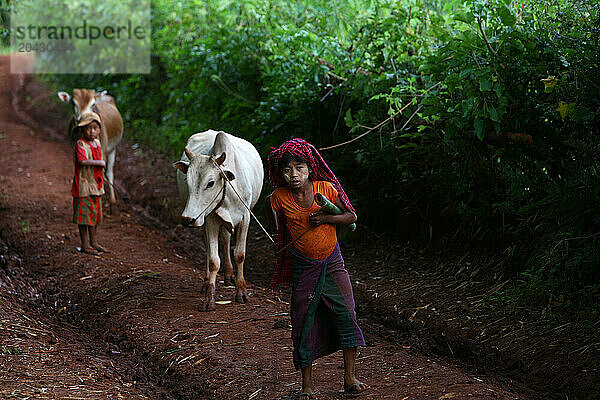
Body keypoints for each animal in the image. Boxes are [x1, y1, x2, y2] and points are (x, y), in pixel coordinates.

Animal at [170, 130, 262, 310]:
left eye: (211, 183)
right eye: (187, 182)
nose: (187, 219)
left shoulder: (245, 218)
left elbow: (239, 254)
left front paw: (241, 292)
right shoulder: (210, 219)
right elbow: (213, 260)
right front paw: (209, 298)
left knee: (225, 239)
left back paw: (229, 275)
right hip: (203, 220)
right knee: (210, 245)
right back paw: (207, 282)